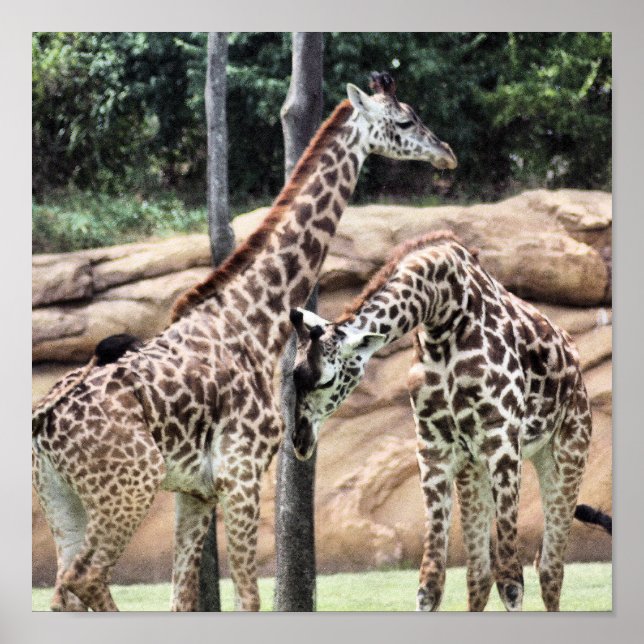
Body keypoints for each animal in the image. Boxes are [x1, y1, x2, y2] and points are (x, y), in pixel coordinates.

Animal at [32, 73, 458, 612]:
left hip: (62, 497)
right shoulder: (242, 471)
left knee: (64, 587)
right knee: (85, 577)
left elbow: (182, 597)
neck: (255, 321)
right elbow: (249, 599)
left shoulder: (196, 490)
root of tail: (42, 423)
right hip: (128, 488)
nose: (447, 154)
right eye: (404, 120)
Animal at [290, 231, 593, 612]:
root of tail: (575, 359)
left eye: (326, 380)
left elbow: (511, 579)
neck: (444, 315)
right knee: (480, 574)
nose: (299, 441)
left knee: (550, 568)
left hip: (565, 452)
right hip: (474, 469)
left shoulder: (502, 440)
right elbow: (430, 581)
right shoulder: (434, 447)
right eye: (293, 376)